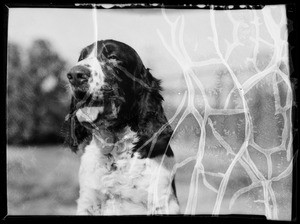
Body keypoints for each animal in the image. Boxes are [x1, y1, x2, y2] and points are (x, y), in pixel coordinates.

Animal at [62, 39, 179, 214]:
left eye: (113, 57)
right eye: (81, 58)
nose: (75, 75)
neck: (114, 153)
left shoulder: (162, 202)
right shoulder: (88, 202)